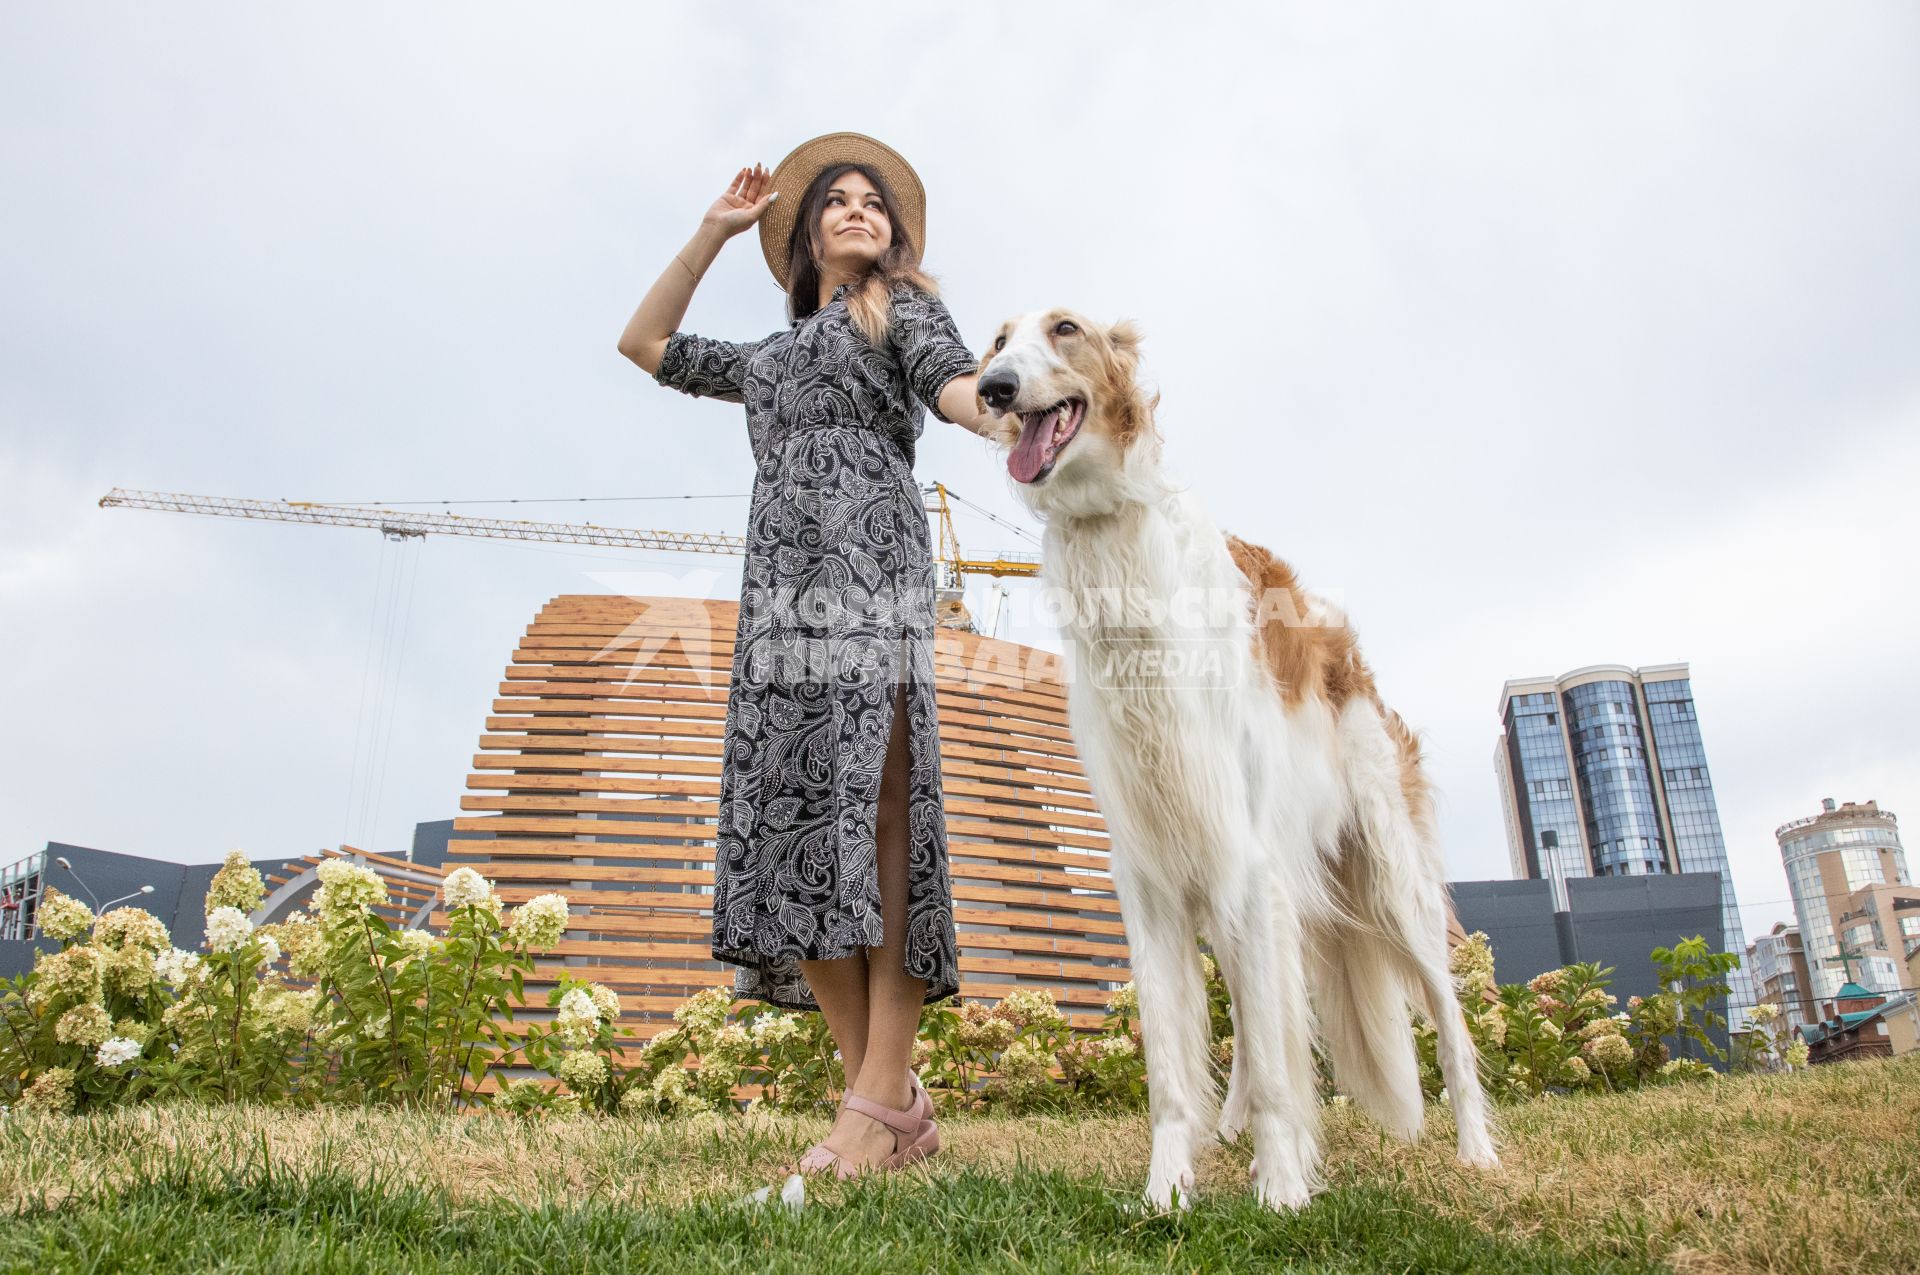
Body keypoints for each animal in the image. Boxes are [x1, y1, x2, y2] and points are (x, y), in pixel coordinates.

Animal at [975, 309, 1497, 1205]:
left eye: (1066, 328)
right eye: (999, 339)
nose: (991, 389)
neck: (1113, 532)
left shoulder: (1247, 856)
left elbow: (1283, 1067)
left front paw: (1283, 1190)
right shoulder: (1149, 871)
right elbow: (1172, 1072)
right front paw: (1166, 1192)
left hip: (1392, 883)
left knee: (1446, 1023)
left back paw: (1476, 1152)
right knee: (1258, 1031)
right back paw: (1234, 1135)